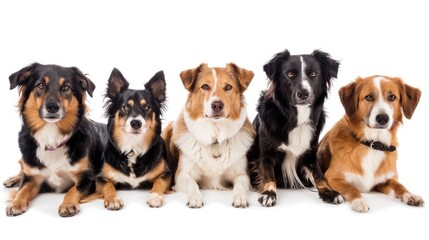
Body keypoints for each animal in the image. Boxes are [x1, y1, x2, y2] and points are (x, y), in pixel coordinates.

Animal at [4, 62, 103, 217]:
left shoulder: (88, 178)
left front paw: (67, 204)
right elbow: (22, 190)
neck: (51, 138)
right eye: (40, 85)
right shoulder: (33, 178)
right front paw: (16, 203)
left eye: (66, 87)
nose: (52, 107)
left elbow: (73, 190)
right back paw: (14, 179)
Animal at [95, 68, 171, 210]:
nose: (136, 123)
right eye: (125, 107)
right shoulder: (100, 177)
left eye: (146, 107)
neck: (133, 147)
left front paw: (155, 197)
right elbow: (108, 185)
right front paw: (113, 199)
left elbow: (159, 182)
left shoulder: (166, 174)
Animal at [162, 62, 252, 207]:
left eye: (228, 87)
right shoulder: (182, 174)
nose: (217, 105)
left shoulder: (242, 174)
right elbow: (192, 184)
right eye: (205, 86)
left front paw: (240, 197)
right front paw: (195, 197)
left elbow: (240, 185)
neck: (215, 136)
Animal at [316, 75, 422, 212]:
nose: (382, 118)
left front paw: (410, 195)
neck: (372, 143)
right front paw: (359, 200)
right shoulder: (332, 177)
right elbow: (350, 188)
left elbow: (400, 186)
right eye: (369, 97)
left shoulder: (385, 180)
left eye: (392, 97)